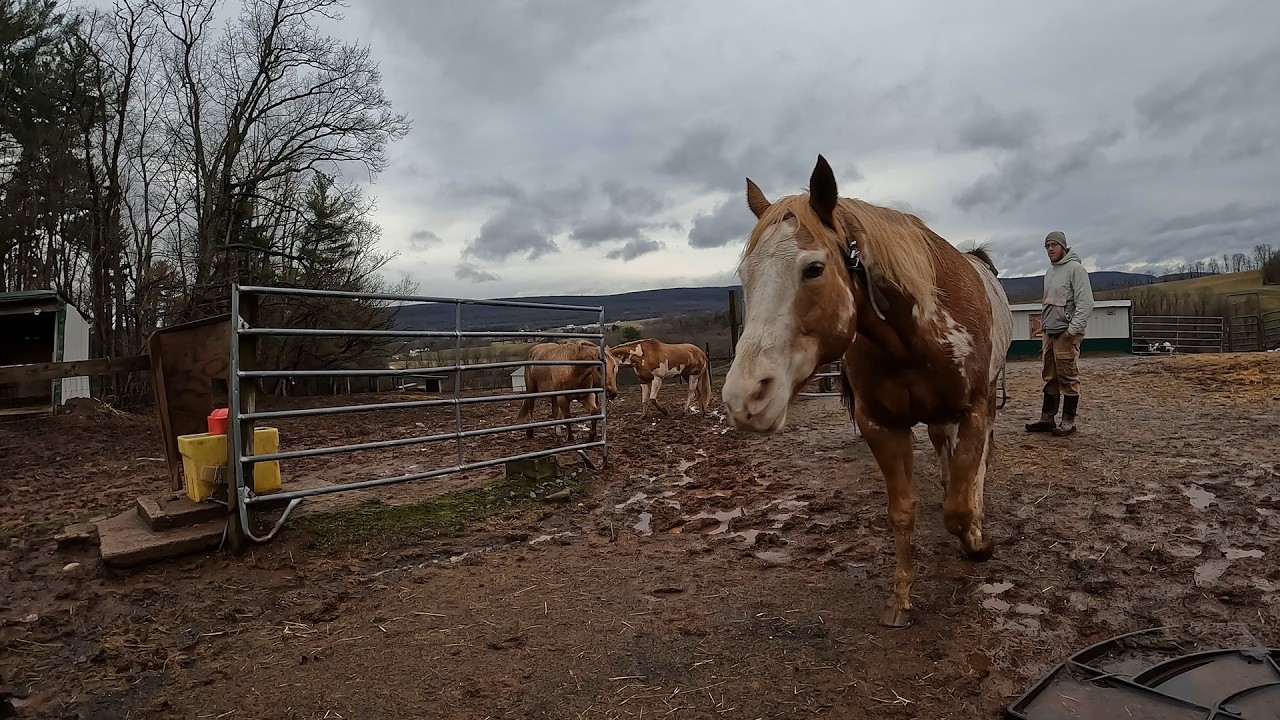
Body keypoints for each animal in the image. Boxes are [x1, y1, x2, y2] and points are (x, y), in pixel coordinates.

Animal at [721, 155, 1013, 628]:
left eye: (814, 268)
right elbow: (902, 512)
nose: (745, 397)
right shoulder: (881, 425)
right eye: (746, 275)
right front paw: (900, 598)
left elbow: (960, 508)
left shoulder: (974, 410)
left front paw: (977, 542)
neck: (914, 334)